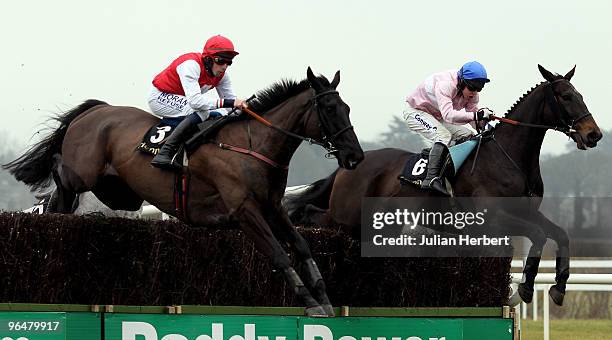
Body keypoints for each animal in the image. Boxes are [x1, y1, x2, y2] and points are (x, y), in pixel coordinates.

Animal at [3, 66, 364, 316]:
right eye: (329, 109)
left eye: (347, 108)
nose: (355, 156)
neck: (253, 146)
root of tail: (97, 109)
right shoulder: (244, 211)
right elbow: (278, 253)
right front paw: (310, 302)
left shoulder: (273, 207)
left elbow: (301, 245)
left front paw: (324, 297)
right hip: (85, 173)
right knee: (61, 171)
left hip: (120, 192)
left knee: (67, 194)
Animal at [286, 65, 604, 306]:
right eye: (566, 96)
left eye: (580, 94)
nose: (594, 134)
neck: (510, 156)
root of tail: (349, 164)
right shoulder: (494, 219)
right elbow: (538, 235)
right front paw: (523, 289)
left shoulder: (526, 212)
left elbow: (559, 234)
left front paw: (558, 287)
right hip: (346, 217)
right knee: (312, 213)